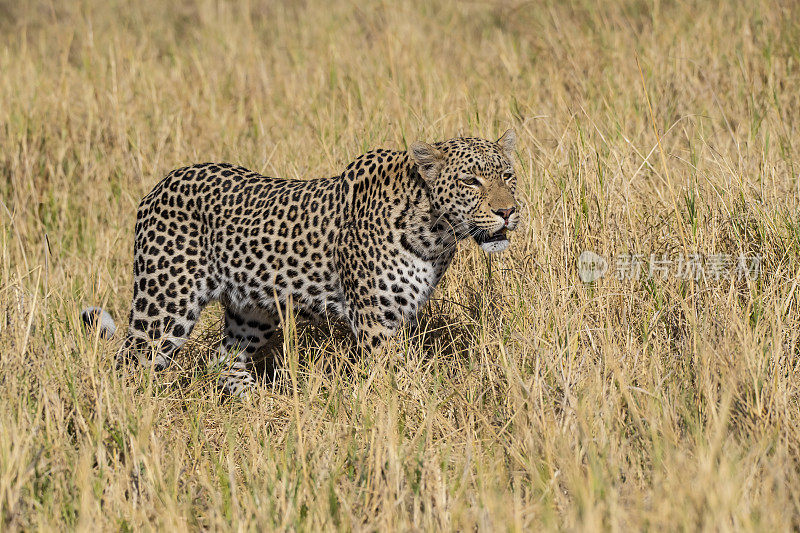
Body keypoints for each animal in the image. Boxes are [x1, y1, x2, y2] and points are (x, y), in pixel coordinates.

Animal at [81, 130, 520, 394]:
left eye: (508, 175)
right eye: (470, 181)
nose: (508, 212)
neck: (434, 232)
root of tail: (159, 184)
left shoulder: (402, 315)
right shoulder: (375, 322)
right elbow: (395, 379)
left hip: (251, 310)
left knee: (224, 360)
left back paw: (258, 408)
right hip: (164, 304)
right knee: (127, 365)